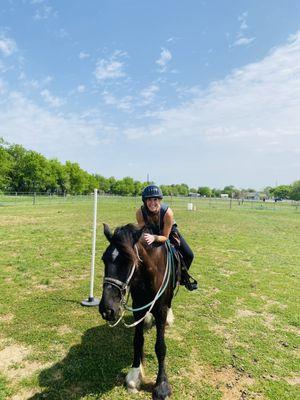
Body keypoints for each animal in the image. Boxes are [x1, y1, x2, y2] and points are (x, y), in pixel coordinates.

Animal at [99, 223, 175, 398]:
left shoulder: (160, 311)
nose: (107, 309)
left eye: (129, 260)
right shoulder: (137, 309)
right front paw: (135, 375)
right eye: (104, 259)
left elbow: (160, 347)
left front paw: (161, 385)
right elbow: (138, 341)